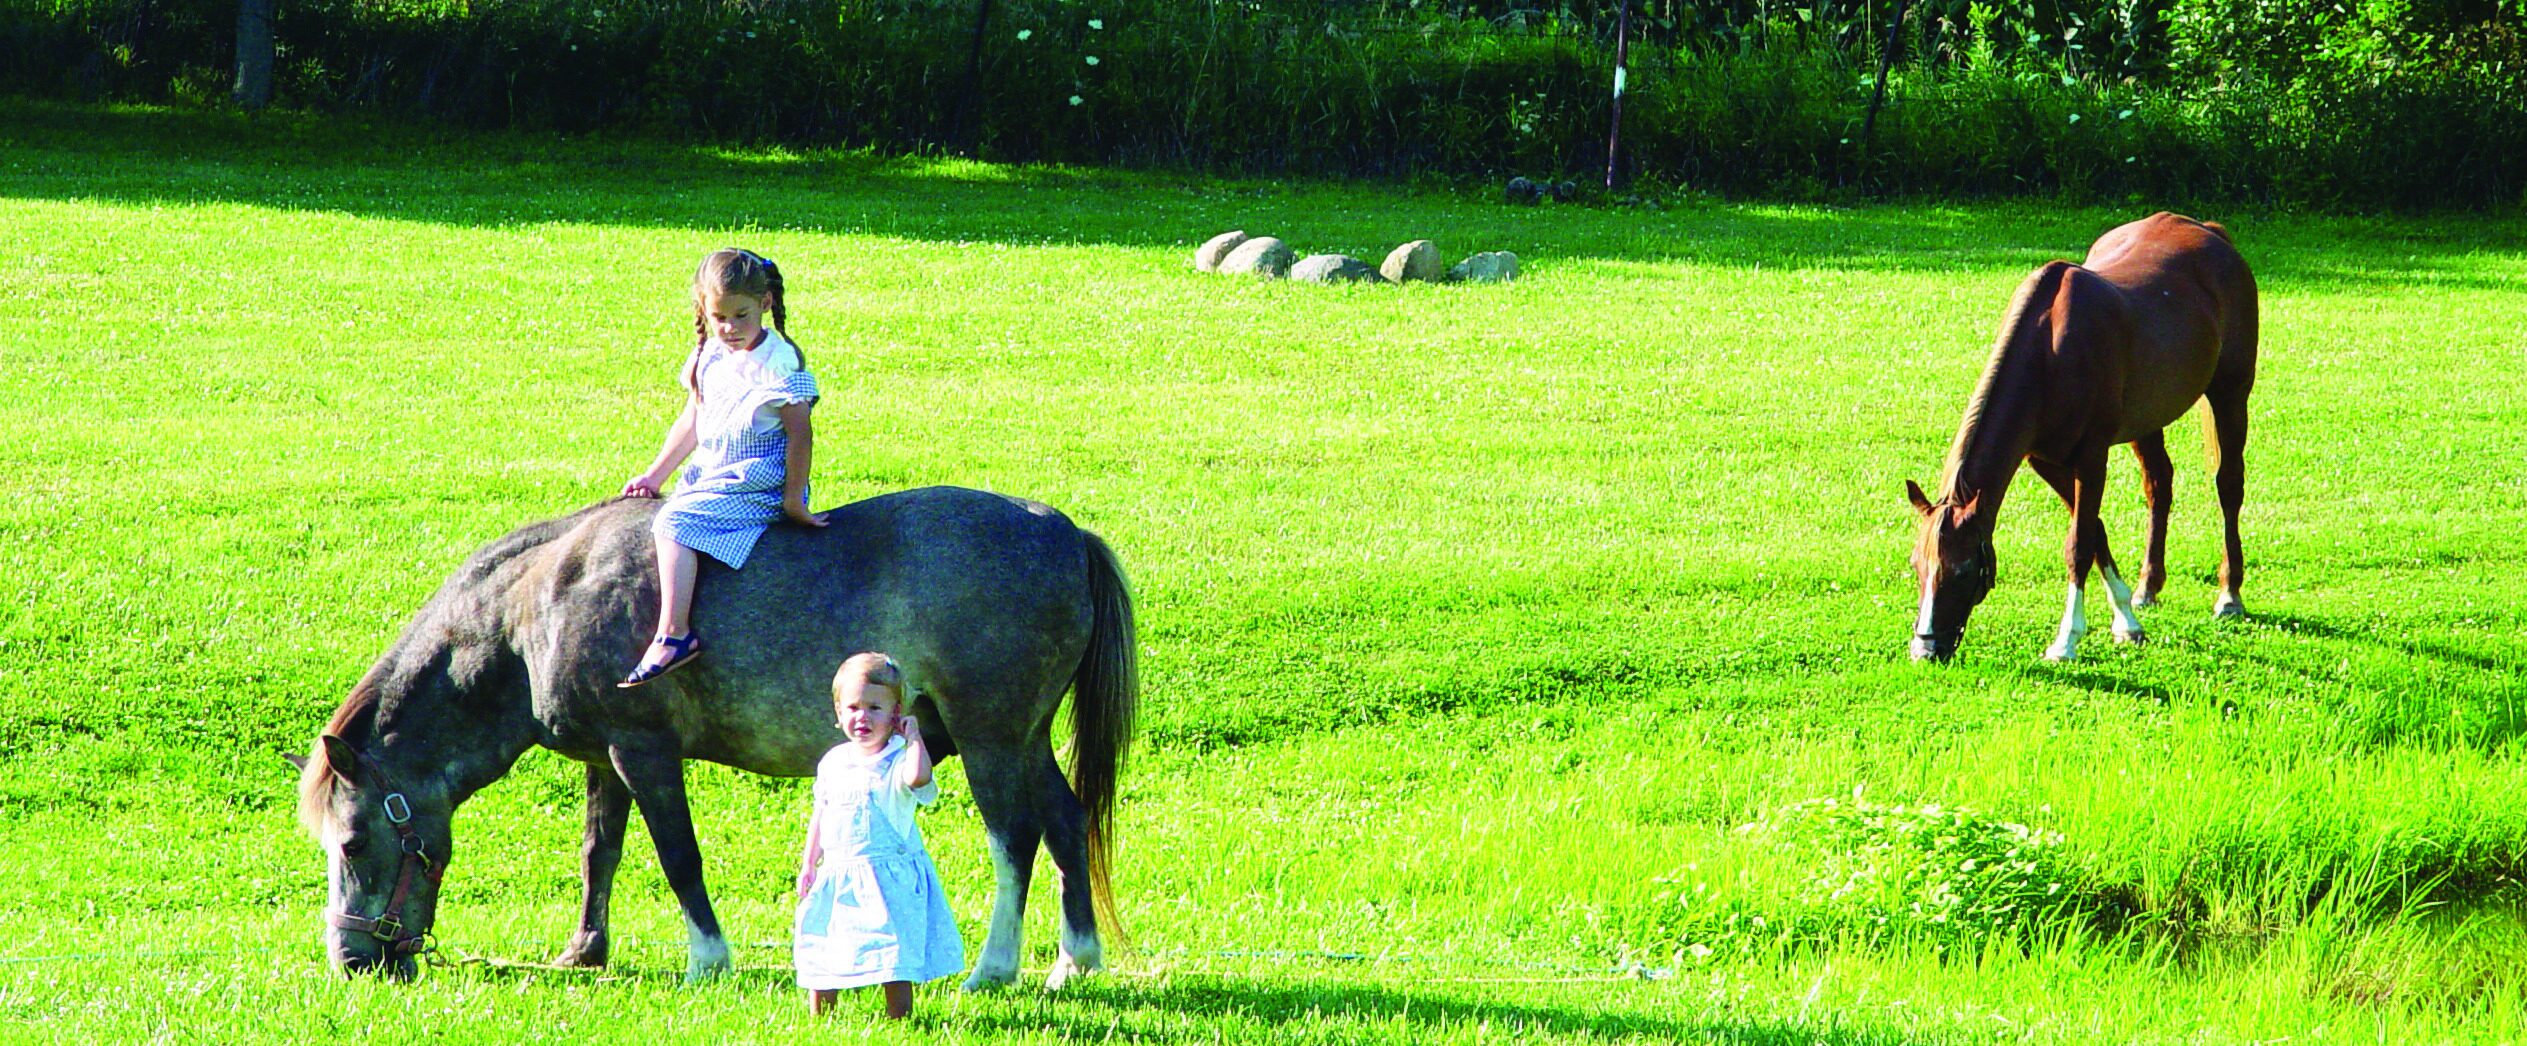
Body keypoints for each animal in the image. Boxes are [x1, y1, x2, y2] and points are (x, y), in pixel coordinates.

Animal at [289, 485, 1138, 988]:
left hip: (992, 739)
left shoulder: (643, 752)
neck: (534, 609)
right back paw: (1074, 959)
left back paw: (993, 967)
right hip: (1025, 742)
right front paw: (585, 950)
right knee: (1066, 826)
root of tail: (1065, 532)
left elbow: (677, 857)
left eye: (353, 843)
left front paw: (708, 957)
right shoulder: (605, 760)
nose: (352, 959)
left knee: (1015, 840)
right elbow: (600, 854)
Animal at [1905, 212, 2257, 662]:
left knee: (2229, 487)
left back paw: (2230, 594)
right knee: (2159, 486)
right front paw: (2127, 619)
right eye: (1917, 565)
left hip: (2230, 394)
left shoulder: (2091, 458)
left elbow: (2079, 544)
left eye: (1964, 568)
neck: (2049, 351)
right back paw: (2148, 587)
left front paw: (2067, 639)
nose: (1926, 650)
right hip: (2147, 421)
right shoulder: (2045, 460)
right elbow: (2095, 530)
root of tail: (2212, 232)